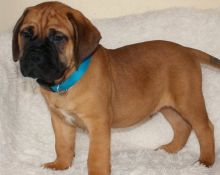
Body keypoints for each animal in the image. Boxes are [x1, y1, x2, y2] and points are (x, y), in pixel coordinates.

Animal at [12, 1, 218, 175]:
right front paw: (60, 165)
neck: (65, 81)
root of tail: (187, 50)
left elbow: (96, 156)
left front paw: (97, 172)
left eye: (57, 38)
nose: (35, 56)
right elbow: (62, 145)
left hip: (189, 100)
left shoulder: (98, 123)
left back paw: (205, 162)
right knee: (182, 127)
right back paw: (169, 150)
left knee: (205, 128)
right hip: (168, 105)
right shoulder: (60, 121)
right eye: (26, 34)